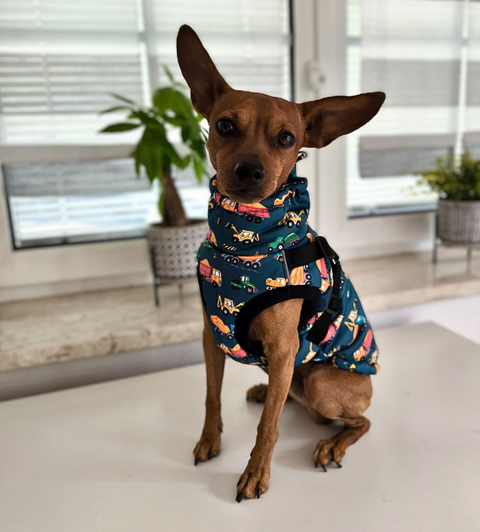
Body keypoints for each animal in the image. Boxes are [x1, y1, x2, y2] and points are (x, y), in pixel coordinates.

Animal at [176, 24, 385, 502]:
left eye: (287, 139)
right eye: (224, 125)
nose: (250, 170)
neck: (242, 248)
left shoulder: (286, 347)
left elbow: (267, 427)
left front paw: (256, 473)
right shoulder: (211, 337)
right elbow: (211, 398)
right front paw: (209, 439)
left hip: (323, 383)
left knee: (360, 421)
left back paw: (331, 444)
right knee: (287, 392)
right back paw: (264, 388)